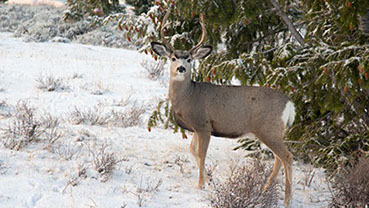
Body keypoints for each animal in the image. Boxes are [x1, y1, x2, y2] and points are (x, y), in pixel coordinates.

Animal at [151, 10, 294, 206]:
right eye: (173, 58)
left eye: (189, 59)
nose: (181, 68)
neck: (189, 96)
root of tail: (289, 104)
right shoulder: (197, 127)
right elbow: (192, 150)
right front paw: (209, 180)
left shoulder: (204, 125)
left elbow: (201, 153)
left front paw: (200, 185)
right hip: (274, 131)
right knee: (278, 158)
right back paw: (265, 189)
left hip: (268, 129)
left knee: (287, 156)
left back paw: (286, 200)